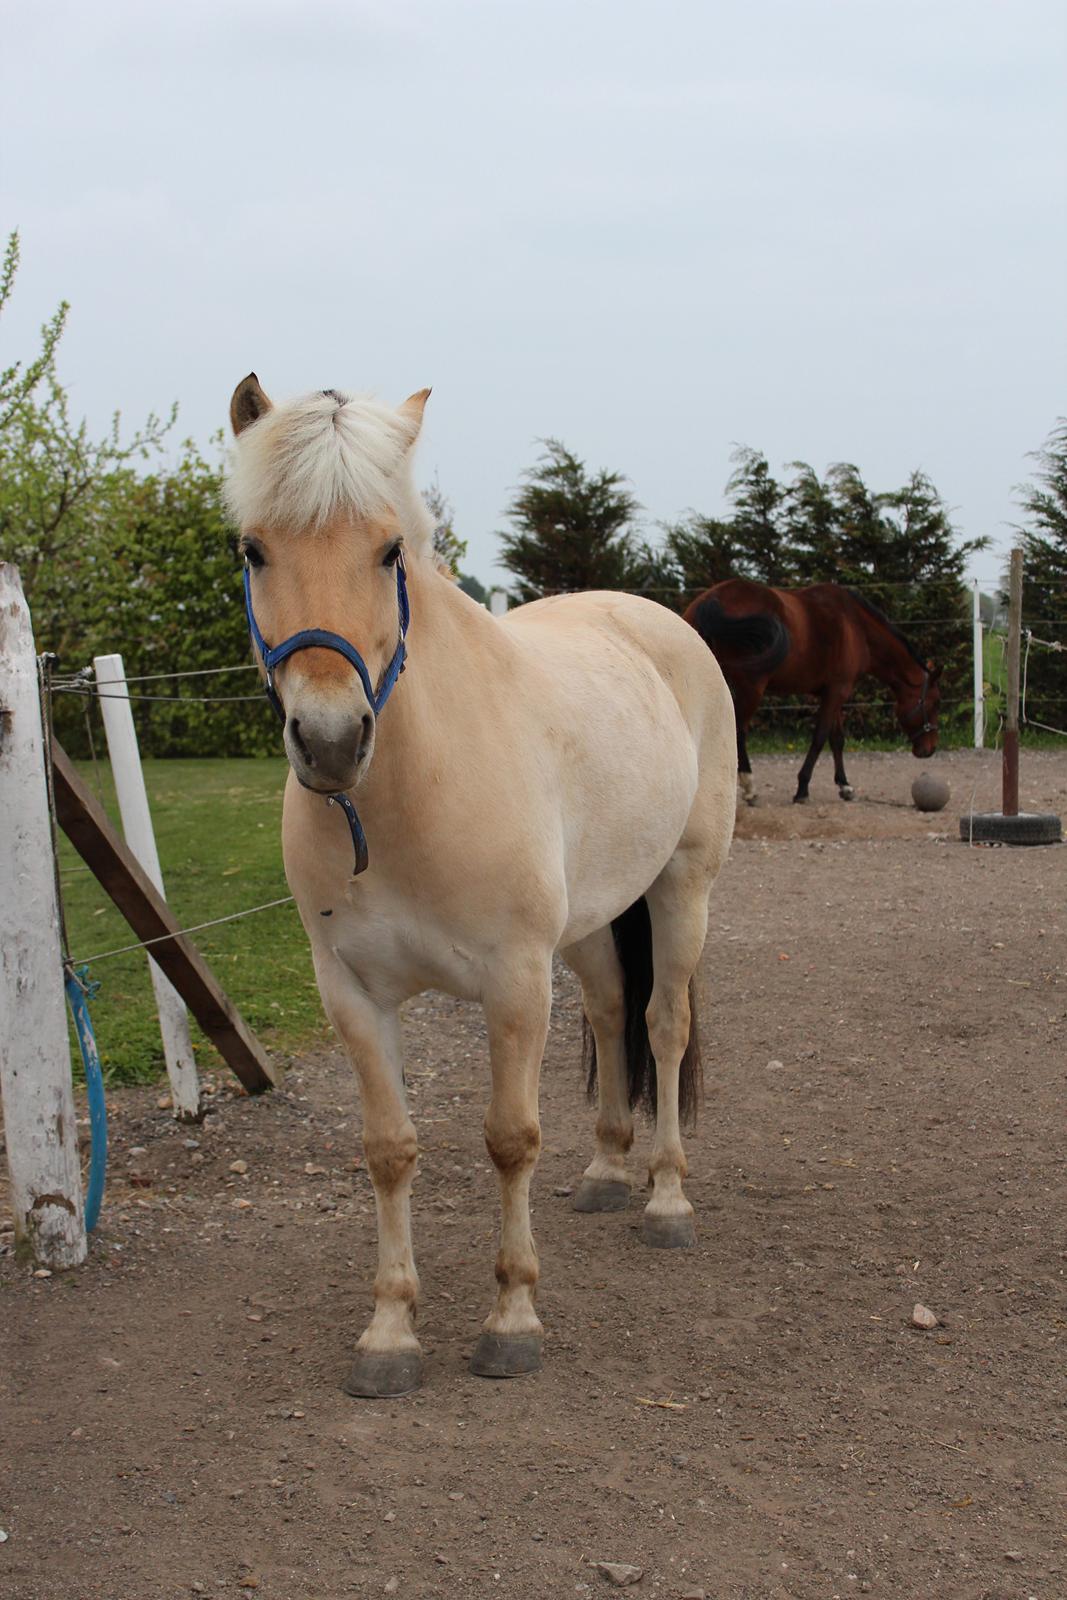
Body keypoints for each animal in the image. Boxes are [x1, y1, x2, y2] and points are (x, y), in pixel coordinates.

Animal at [228, 380, 739, 1395]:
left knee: (663, 1024)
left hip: (681, 889)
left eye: (389, 549)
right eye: (254, 548)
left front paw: (511, 1319)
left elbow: (509, 1139)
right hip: (589, 924)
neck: (409, 793)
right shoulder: (352, 993)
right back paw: (606, 1173)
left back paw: (664, 1199)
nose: (331, 741)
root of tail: (654, 620)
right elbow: (389, 1149)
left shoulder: (511, 982)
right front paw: (389, 1332)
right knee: (614, 1012)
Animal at [687, 576, 940, 806]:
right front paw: (802, 788)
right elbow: (820, 738)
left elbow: (837, 739)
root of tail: (712, 600)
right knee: (739, 730)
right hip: (749, 688)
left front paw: (845, 786)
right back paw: (749, 789)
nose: (930, 749)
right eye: (933, 704)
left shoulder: (832, 693)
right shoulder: (837, 692)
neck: (856, 626)